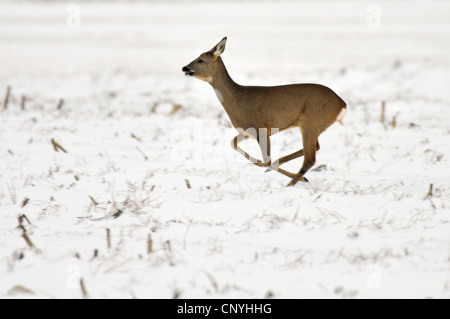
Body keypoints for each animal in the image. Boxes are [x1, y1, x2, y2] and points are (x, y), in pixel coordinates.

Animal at [181, 37, 346, 188]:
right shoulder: (246, 131)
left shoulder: (261, 128)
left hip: (311, 122)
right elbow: (233, 143)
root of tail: (342, 105)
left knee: (310, 158)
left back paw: (291, 184)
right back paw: (294, 175)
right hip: (314, 125)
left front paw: (269, 167)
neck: (237, 100)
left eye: (201, 60)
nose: (184, 68)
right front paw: (260, 164)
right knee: (314, 148)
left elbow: (267, 160)